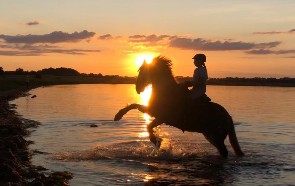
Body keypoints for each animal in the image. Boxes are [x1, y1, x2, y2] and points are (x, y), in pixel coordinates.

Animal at [115, 55, 245, 157]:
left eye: (143, 71)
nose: (138, 88)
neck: (166, 92)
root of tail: (228, 117)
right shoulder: (153, 112)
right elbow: (134, 105)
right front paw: (118, 115)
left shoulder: (161, 117)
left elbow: (148, 126)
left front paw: (157, 141)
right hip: (210, 136)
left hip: (216, 137)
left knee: (224, 152)